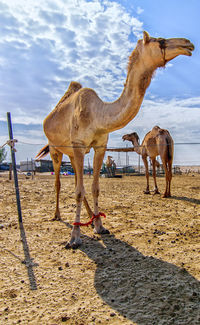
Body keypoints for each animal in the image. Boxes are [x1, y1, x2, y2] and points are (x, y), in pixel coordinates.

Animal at [35, 31, 194, 247]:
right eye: (160, 41)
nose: (188, 44)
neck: (98, 114)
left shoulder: (100, 146)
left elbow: (94, 187)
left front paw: (99, 226)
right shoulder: (78, 144)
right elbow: (78, 190)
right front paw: (74, 237)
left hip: (72, 152)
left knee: (76, 178)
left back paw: (88, 216)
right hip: (55, 149)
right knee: (59, 181)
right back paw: (58, 215)